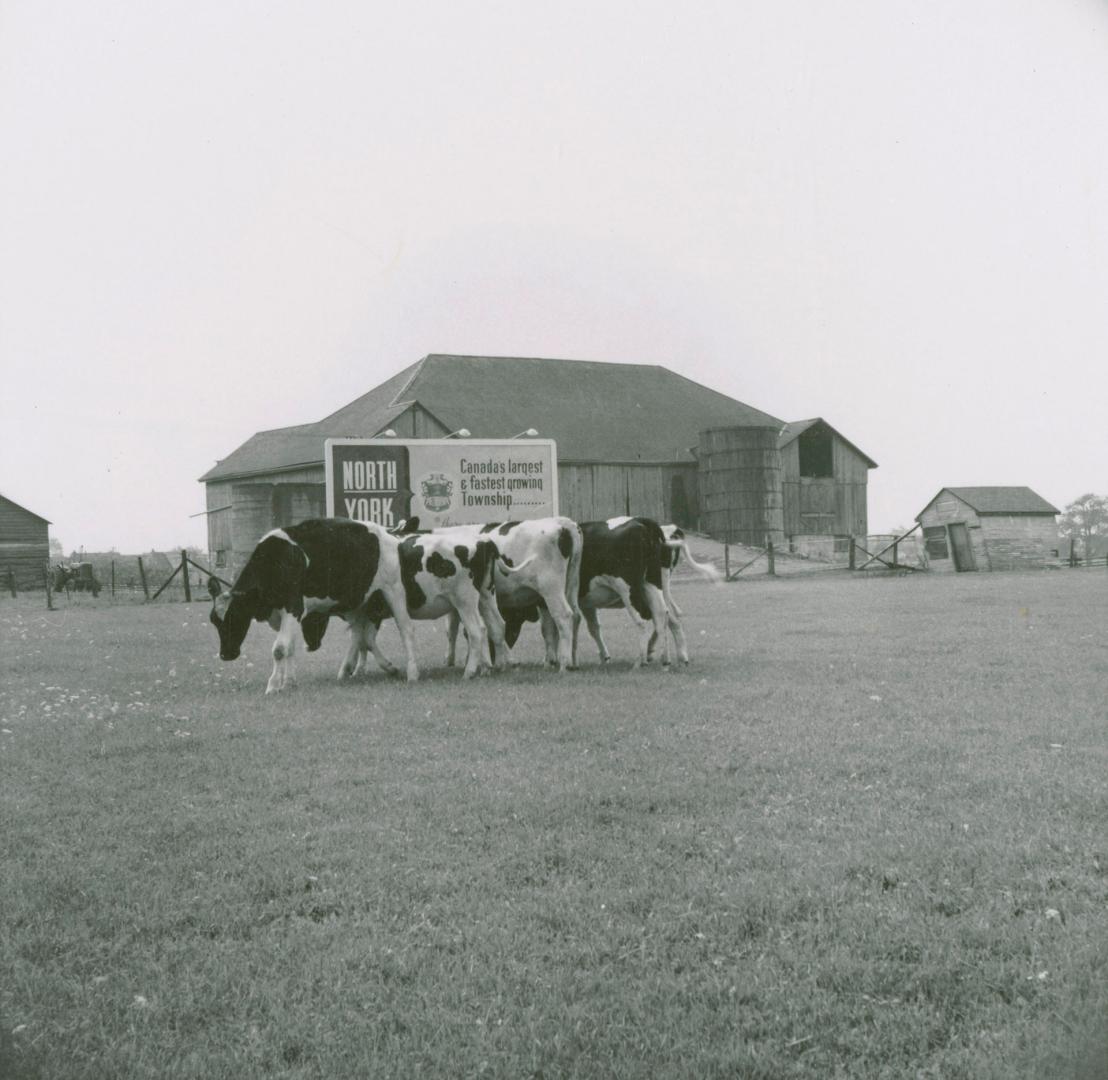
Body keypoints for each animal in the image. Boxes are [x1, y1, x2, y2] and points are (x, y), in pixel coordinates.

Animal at [206, 518, 416, 691]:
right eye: (214, 621)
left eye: (236, 616)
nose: (225, 655)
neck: (277, 560)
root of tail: (390, 534)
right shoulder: (289, 614)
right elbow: (290, 647)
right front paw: (289, 683)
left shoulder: (293, 607)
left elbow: (279, 649)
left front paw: (273, 685)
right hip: (361, 602)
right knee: (361, 636)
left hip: (394, 591)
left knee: (405, 630)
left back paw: (412, 674)